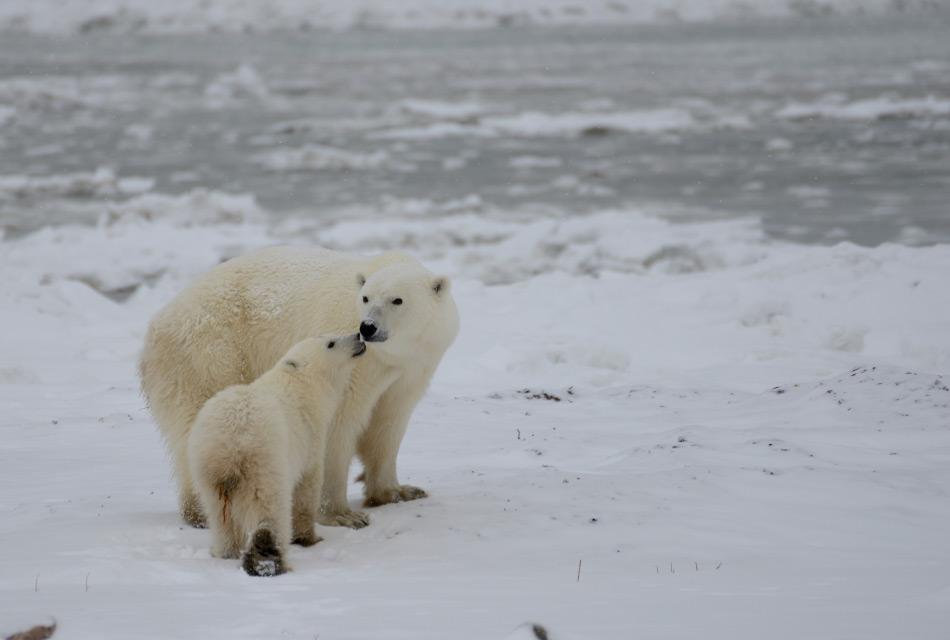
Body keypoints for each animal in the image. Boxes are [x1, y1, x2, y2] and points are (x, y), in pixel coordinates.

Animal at [139, 248, 462, 528]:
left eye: (398, 300)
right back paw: (201, 512)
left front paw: (398, 491)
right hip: (210, 353)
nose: (367, 327)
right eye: (366, 298)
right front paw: (341, 514)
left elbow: (389, 422)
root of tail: (156, 325)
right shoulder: (349, 361)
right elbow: (338, 424)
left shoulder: (413, 367)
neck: (389, 355)